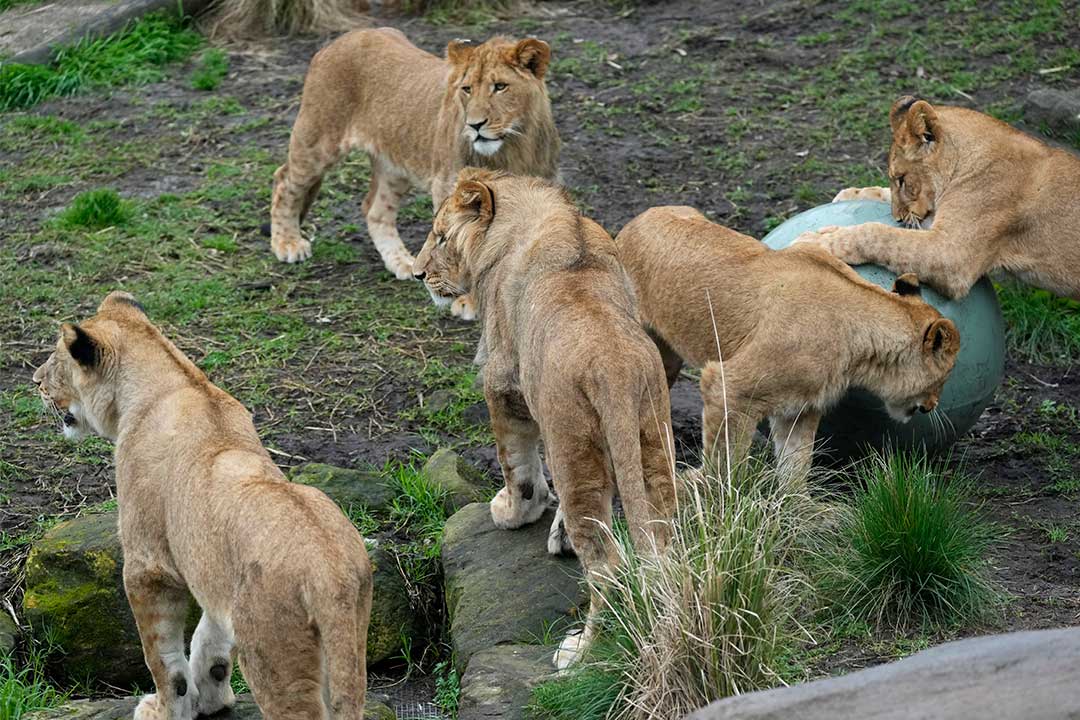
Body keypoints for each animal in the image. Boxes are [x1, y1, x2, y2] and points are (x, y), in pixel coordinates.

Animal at [33, 292, 372, 720]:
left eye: (55, 358)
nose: (35, 381)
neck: (177, 380)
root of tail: (332, 573)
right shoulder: (211, 575)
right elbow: (210, 640)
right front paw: (211, 698)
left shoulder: (149, 565)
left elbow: (163, 659)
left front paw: (164, 709)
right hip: (352, 638)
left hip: (276, 657)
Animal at [269, 27, 561, 318]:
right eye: (466, 89)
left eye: (500, 86)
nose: (474, 125)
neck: (513, 145)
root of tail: (344, 37)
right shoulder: (447, 186)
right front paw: (466, 301)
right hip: (317, 141)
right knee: (284, 180)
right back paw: (287, 243)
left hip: (394, 166)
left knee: (375, 210)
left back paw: (400, 262)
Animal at [412, 169, 676, 669]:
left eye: (439, 236)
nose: (418, 274)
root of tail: (614, 367)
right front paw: (557, 533)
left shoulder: (502, 381)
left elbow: (517, 462)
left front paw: (513, 512)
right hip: (651, 440)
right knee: (662, 543)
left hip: (571, 444)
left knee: (608, 565)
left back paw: (579, 651)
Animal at [615, 206, 962, 481]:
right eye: (944, 377)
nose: (933, 406)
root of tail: (634, 222)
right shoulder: (728, 386)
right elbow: (725, 463)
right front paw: (713, 503)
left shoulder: (800, 408)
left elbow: (796, 463)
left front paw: (801, 514)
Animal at [799, 95, 1080, 300]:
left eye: (902, 179)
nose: (898, 218)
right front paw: (851, 193)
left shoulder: (952, 254)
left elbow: (879, 234)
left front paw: (815, 242)